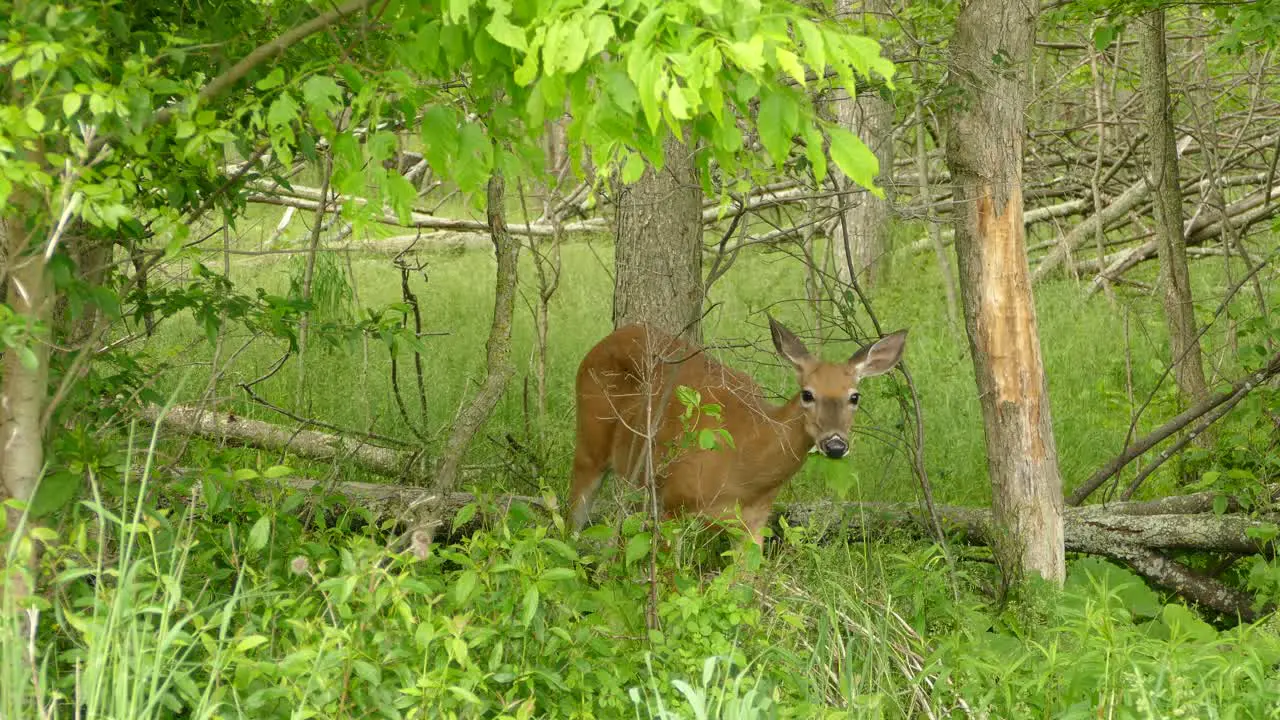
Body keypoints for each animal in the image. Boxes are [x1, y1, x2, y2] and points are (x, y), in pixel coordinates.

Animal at [570, 316, 911, 545]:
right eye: (807, 394)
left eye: (854, 396)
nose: (836, 445)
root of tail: (603, 341)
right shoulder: (674, 503)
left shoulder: (754, 522)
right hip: (590, 443)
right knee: (572, 518)